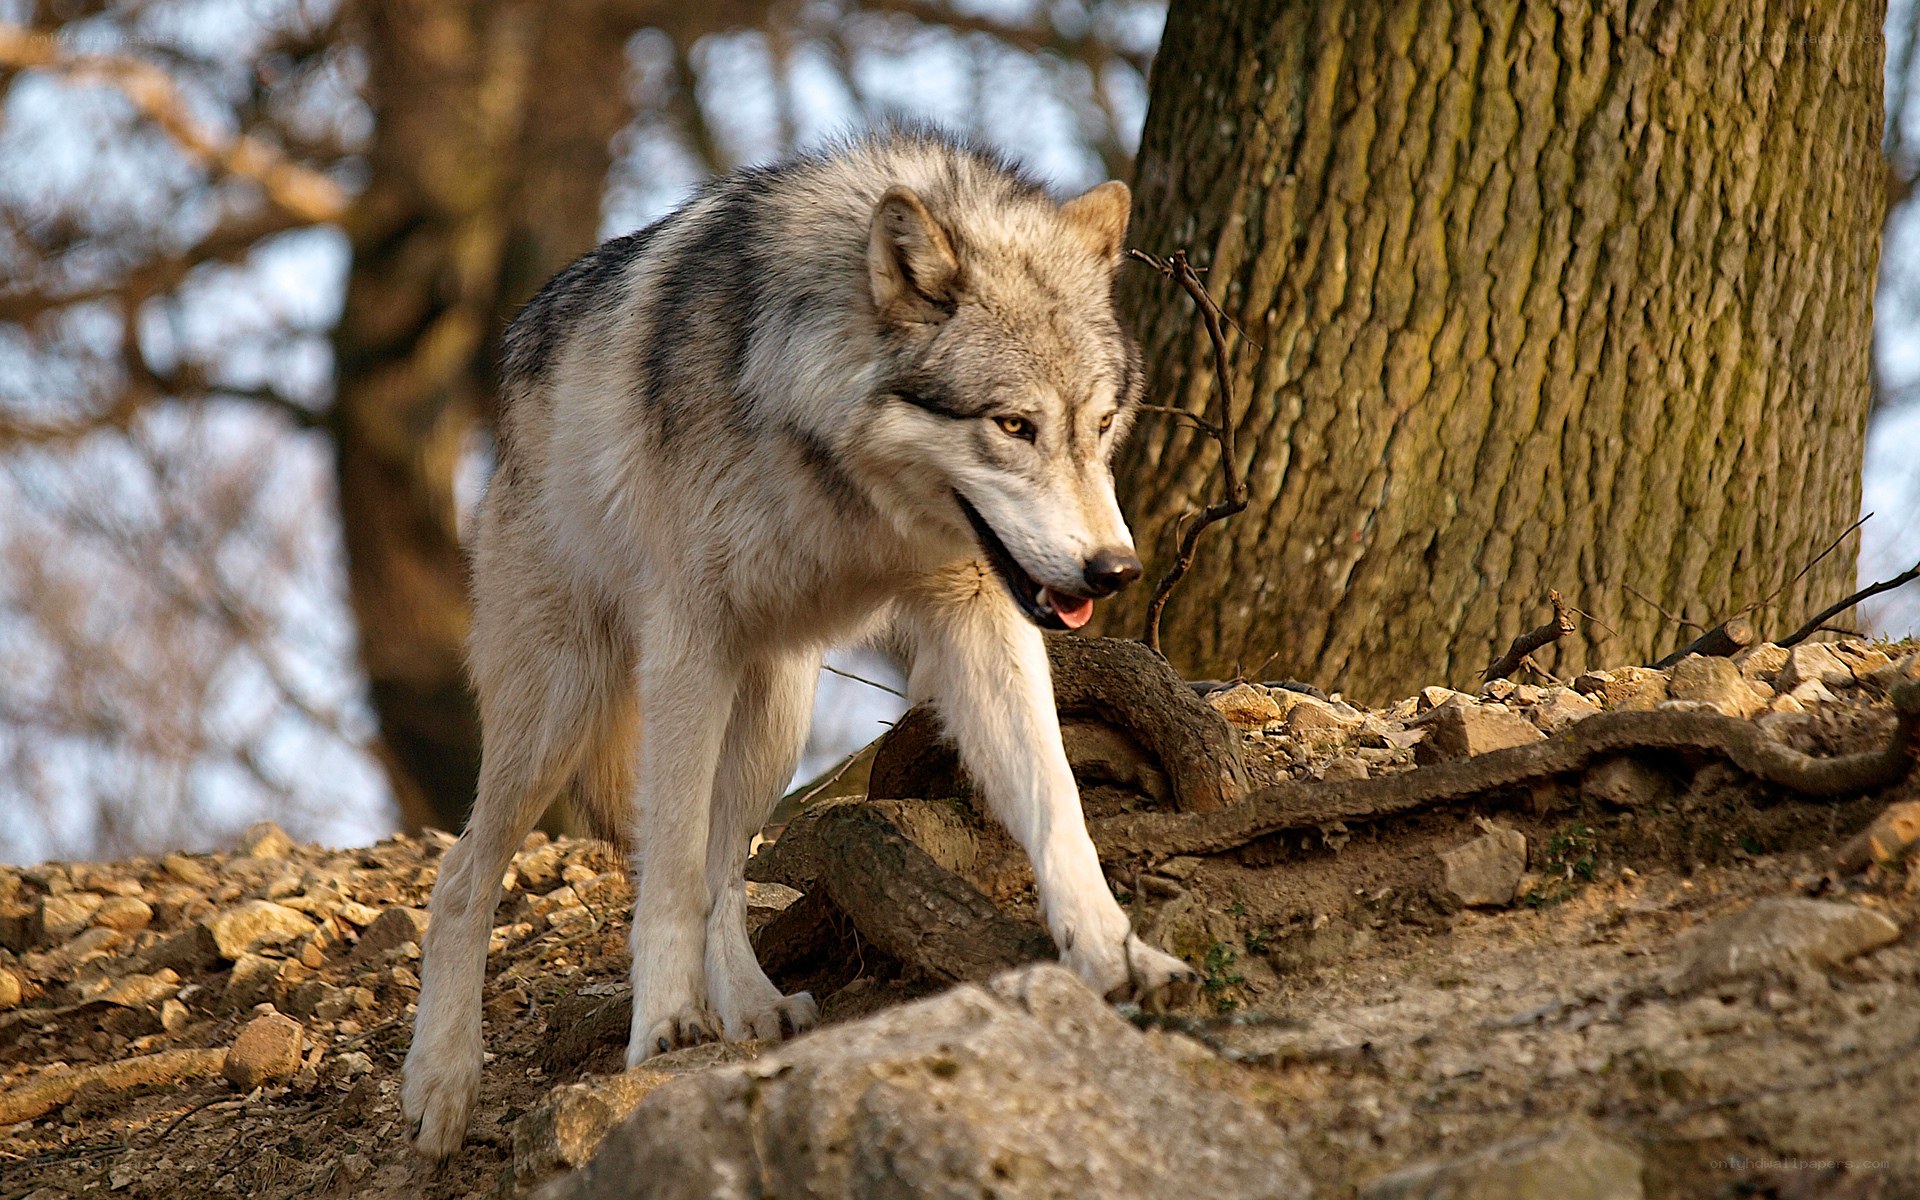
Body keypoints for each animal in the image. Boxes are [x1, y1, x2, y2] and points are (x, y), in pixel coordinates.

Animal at [401, 127, 1200, 1159]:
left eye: (1100, 426)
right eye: (1013, 425)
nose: (1114, 571)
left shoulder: (981, 617)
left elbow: (1057, 802)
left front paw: (1115, 951)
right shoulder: (687, 643)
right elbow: (663, 870)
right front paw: (664, 1026)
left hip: (775, 716)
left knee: (724, 865)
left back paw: (750, 1006)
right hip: (563, 708)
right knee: (467, 875)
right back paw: (442, 1083)